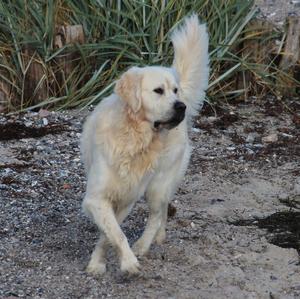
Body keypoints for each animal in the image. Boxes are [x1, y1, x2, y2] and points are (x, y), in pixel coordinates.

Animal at [81, 15, 210, 276]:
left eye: (175, 90)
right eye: (158, 90)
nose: (181, 106)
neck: (135, 140)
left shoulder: (127, 198)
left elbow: (111, 234)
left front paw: (125, 261)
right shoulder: (97, 198)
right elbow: (113, 232)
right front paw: (100, 263)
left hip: (158, 184)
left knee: (157, 213)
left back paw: (143, 244)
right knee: (162, 212)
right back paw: (158, 237)